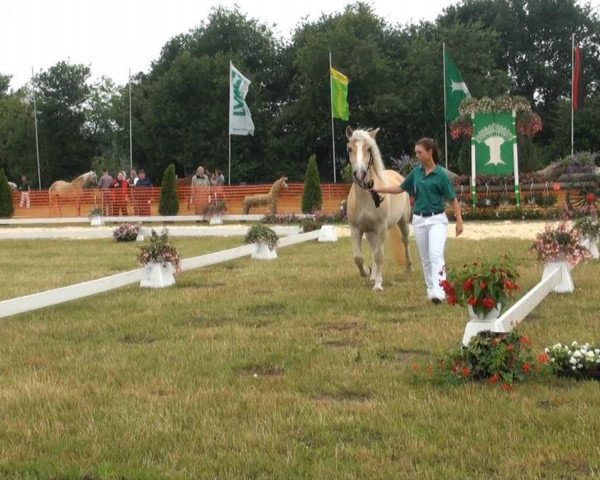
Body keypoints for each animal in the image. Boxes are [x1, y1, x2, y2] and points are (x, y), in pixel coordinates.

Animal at [346, 125, 412, 290]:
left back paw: (409, 268)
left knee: (405, 241)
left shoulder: (381, 228)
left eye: (369, 149)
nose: (360, 174)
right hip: (370, 232)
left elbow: (379, 256)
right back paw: (373, 275)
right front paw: (368, 272)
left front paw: (378, 285)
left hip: (403, 222)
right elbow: (358, 258)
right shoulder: (356, 229)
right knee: (374, 247)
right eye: (350, 148)